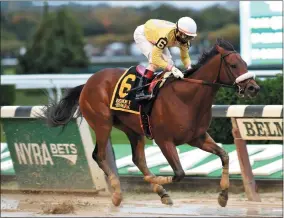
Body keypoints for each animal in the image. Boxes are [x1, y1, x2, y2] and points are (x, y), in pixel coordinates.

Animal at [41, 38, 260, 208]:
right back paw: (117, 193)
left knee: (138, 159)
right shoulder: (164, 141)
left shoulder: (197, 137)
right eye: (233, 65)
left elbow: (224, 155)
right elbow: (179, 173)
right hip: (102, 123)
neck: (187, 97)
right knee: (99, 155)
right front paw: (153, 180)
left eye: (245, 63)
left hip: (132, 129)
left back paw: (160, 192)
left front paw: (223, 196)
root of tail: (88, 82)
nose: (253, 88)